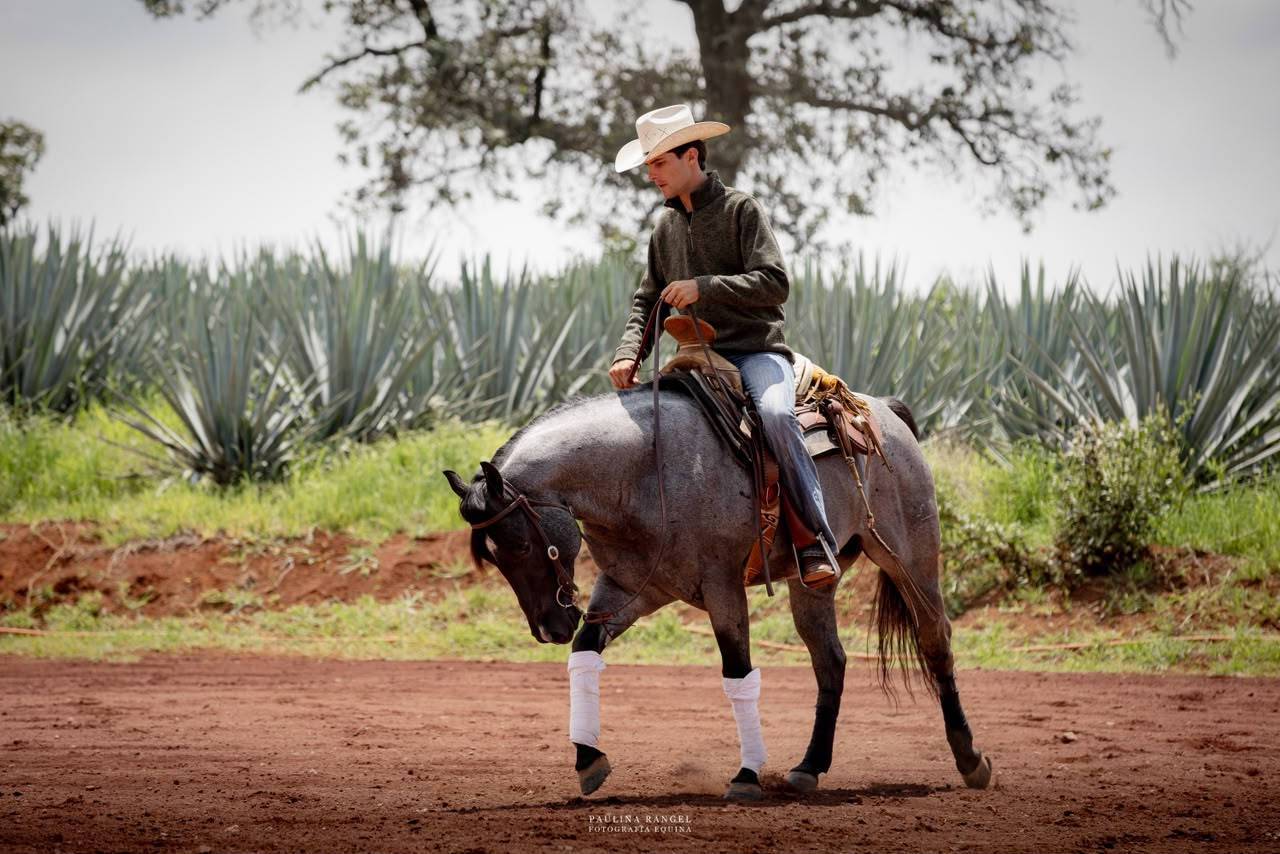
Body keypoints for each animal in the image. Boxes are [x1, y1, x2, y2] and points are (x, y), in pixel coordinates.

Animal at [443, 382, 992, 801]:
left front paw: (746, 777)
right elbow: (585, 652)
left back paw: (970, 759)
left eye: (519, 543)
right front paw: (588, 760)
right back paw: (808, 768)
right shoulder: (631, 589)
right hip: (815, 583)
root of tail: (885, 411)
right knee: (831, 661)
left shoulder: (724, 588)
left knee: (935, 641)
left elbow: (737, 673)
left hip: (911, 559)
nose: (548, 628)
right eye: (493, 556)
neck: (646, 472)